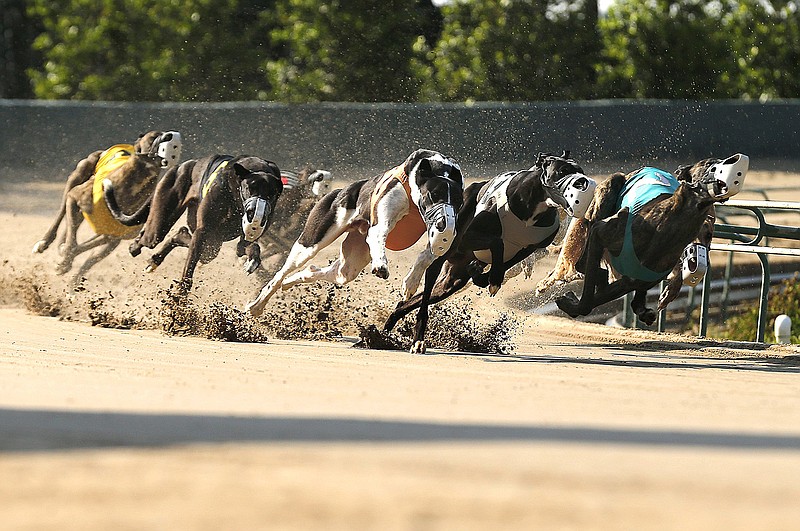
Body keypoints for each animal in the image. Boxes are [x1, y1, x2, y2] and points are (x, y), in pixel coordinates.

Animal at [32, 131, 181, 282]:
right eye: (153, 137)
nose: (169, 136)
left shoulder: (114, 237)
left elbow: (82, 248)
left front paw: (66, 261)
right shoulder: (75, 197)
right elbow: (72, 239)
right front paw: (64, 262)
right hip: (78, 174)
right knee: (63, 210)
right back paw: (44, 242)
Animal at [104, 154, 282, 296]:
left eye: (272, 193)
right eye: (249, 187)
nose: (254, 212)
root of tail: (182, 165)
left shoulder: (241, 241)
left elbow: (250, 247)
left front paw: (253, 260)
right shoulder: (203, 231)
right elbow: (189, 266)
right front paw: (180, 295)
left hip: (212, 244)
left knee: (181, 234)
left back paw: (155, 259)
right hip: (160, 225)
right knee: (149, 237)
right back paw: (135, 247)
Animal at [247, 148, 466, 318]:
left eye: (457, 200)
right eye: (433, 194)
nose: (443, 221)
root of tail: (341, 191)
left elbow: (427, 254)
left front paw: (410, 283)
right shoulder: (381, 223)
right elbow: (380, 235)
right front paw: (381, 265)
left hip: (349, 266)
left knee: (318, 271)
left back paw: (292, 281)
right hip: (309, 243)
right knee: (280, 274)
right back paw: (257, 305)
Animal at [382, 152, 592, 354]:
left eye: (581, 170)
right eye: (562, 171)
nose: (583, 183)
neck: (535, 206)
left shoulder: (528, 248)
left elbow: (505, 260)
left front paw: (487, 277)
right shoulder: (468, 236)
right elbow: (497, 242)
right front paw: (491, 278)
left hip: (452, 282)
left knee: (418, 299)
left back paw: (390, 324)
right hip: (446, 254)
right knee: (425, 298)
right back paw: (417, 339)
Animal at [536, 152, 752, 322]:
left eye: (709, 235)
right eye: (709, 164)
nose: (736, 161)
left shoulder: (636, 278)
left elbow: (600, 297)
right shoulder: (601, 233)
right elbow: (588, 298)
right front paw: (571, 300)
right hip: (605, 196)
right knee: (583, 261)